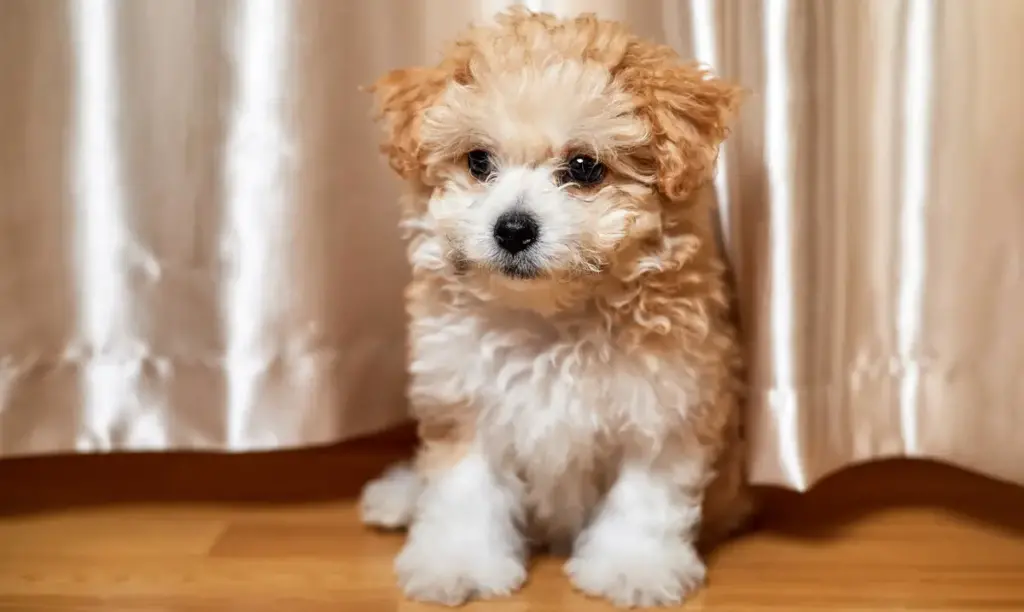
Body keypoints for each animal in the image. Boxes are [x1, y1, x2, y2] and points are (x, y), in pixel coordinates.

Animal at [360, 8, 753, 609]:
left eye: (585, 167)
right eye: (478, 161)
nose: (513, 229)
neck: (553, 318)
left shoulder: (667, 406)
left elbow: (646, 498)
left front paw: (632, 567)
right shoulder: (461, 395)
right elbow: (462, 486)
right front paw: (459, 561)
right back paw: (398, 496)